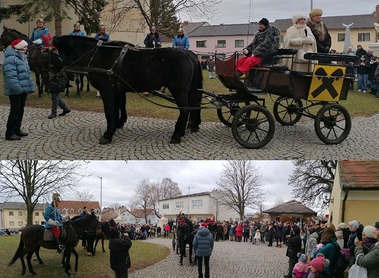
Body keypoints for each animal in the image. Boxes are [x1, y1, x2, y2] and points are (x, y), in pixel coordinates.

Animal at [52, 35, 205, 144]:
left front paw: (108, 135)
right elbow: (116, 109)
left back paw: (177, 135)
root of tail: (188, 54)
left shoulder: (107, 91)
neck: (97, 54)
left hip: (178, 90)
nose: (55, 76)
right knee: (194, 105)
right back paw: (190, 127)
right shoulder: (116, 90)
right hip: (190, 90)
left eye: (56, 53)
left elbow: (109, 111)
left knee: (185, 109)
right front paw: (116, 126)